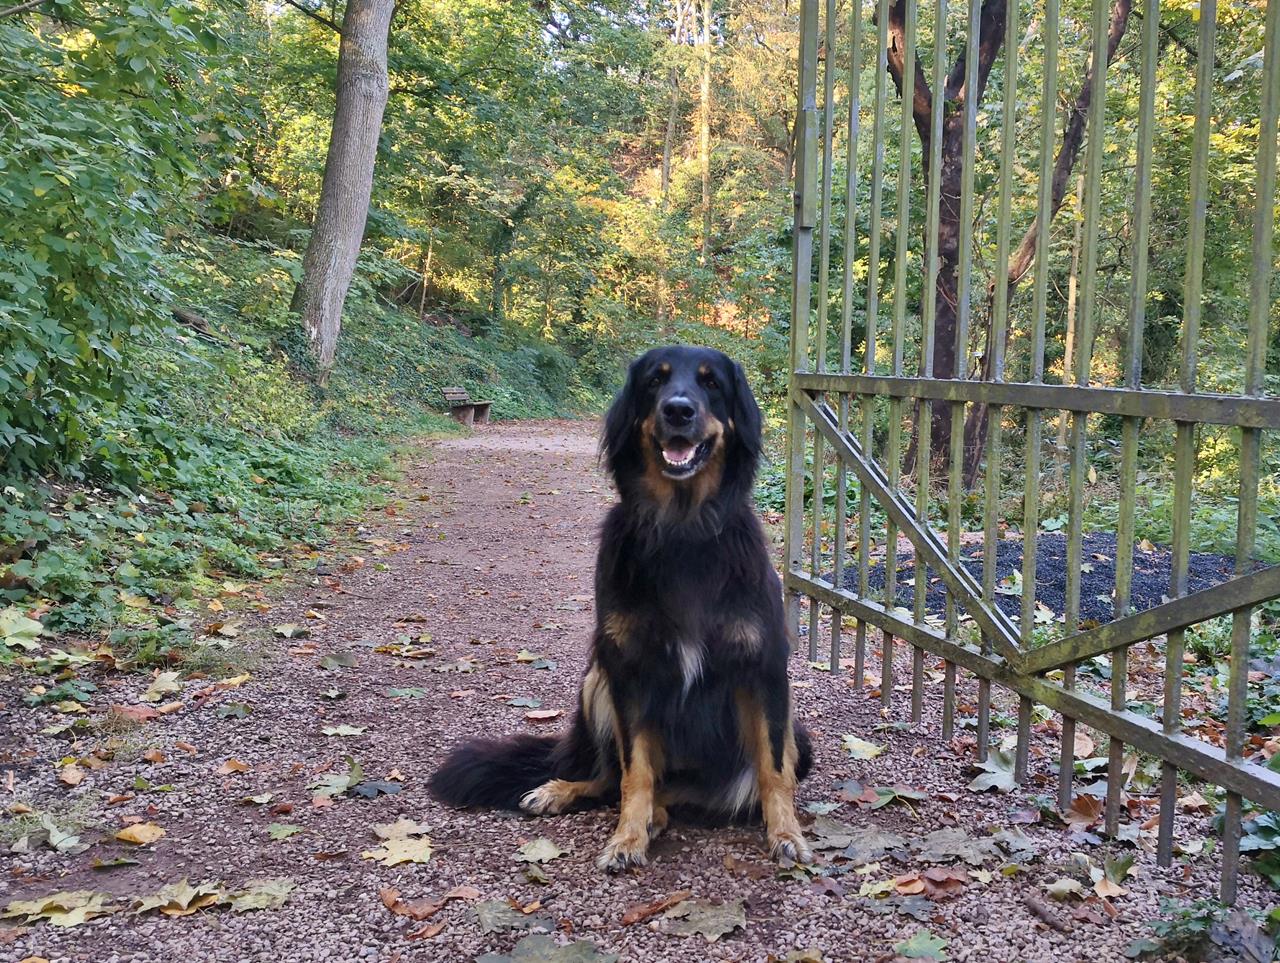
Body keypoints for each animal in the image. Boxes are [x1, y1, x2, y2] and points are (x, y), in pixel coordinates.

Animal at [428, 345, 813, 871]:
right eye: (655, 381)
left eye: (712, 384)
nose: (678, 410)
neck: (682, 530)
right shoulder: (628, 670)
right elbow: (636, 772)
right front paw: (626, 838)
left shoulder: (765, 669)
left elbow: (774, 770)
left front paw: (786, 833)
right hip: (597, 680)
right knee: (612, 779)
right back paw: (566, 792)